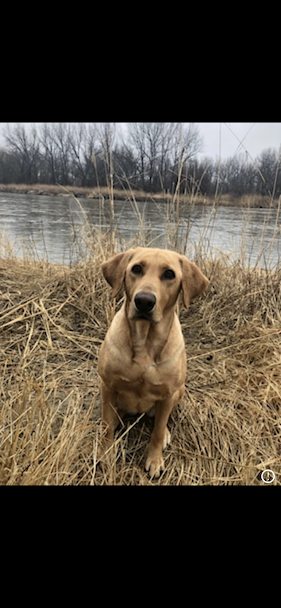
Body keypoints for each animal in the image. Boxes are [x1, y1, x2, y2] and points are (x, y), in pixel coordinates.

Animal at [97, 249, 209, 478]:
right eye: (136, 268)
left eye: (169, 274)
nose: (144, 301)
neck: (145, 344)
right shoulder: (107, 385)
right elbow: (106, 425)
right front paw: (105, 455)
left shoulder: (167, 395)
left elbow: (156, 431)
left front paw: (155, 461)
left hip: (179, 391)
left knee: (162, 420)